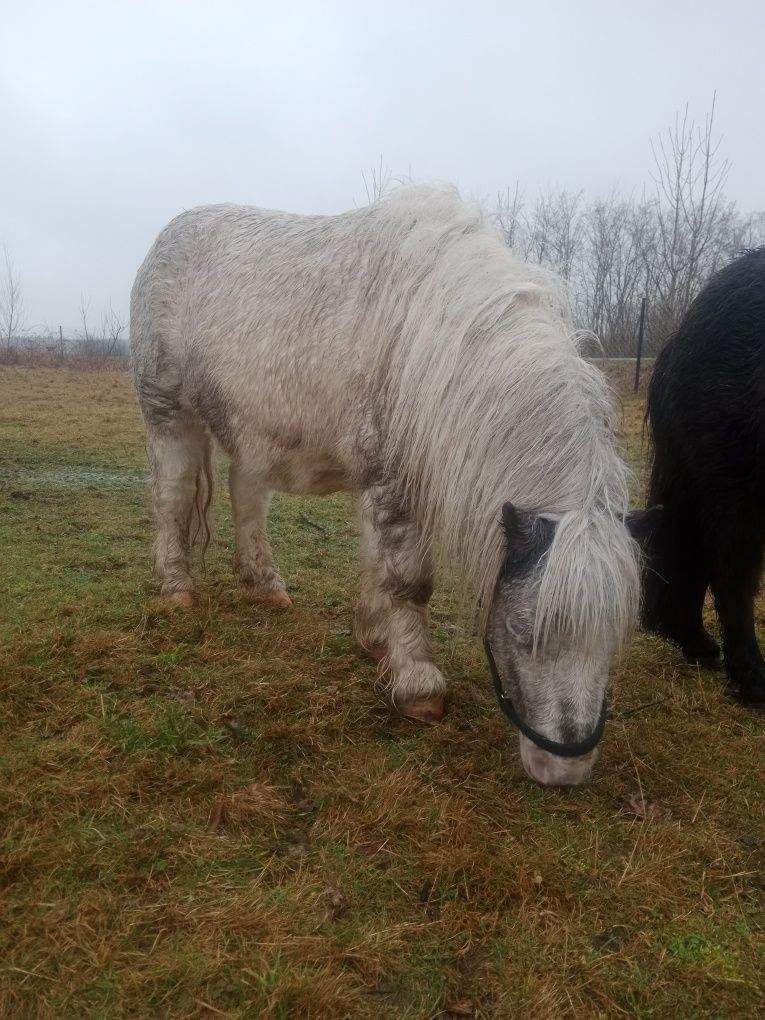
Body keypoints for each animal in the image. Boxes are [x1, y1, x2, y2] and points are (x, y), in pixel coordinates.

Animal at [131, 185, 652, 787]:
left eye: (613, 642)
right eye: (525, 634)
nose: (565, 771)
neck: (434, 336)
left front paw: (377, 642)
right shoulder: (393, 483)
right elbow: (407, 582)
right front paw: (417, 683)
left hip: (252, 429)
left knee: (248, 495)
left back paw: (265, 584)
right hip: (169, 414)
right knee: (171, 495)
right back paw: (176, 588)